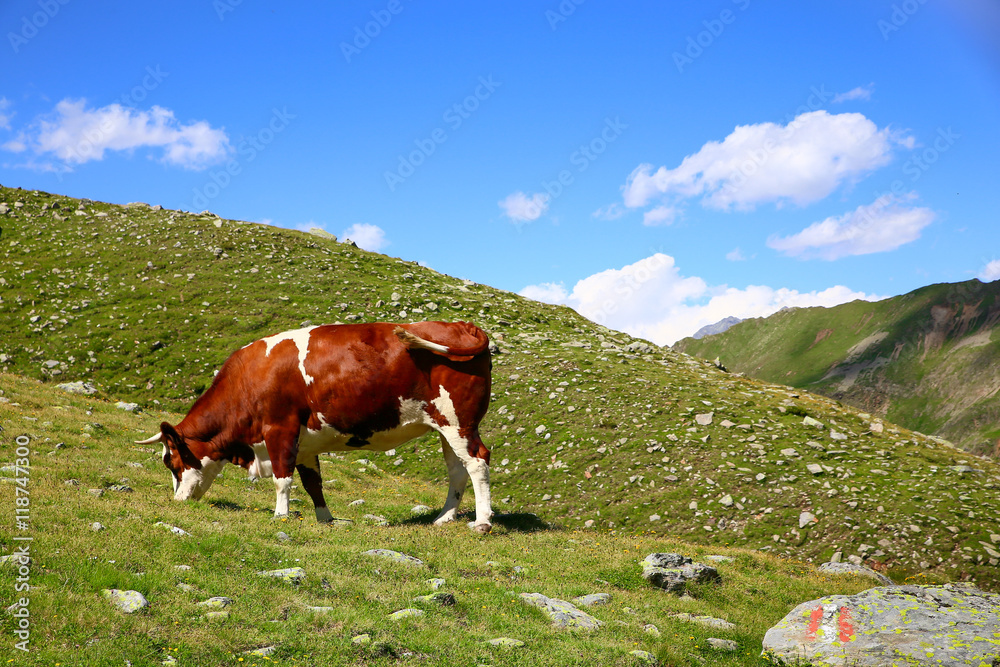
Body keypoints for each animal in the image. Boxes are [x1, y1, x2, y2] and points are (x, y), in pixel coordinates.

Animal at [136, 321, 494, 533]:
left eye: (173, 462)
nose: (178, 501)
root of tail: (461, 324)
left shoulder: (279, 430)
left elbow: (282, 479)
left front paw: (281, 515)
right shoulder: (304, 444)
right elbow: (313, 483)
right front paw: (325, 518)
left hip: (459, 423)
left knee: (477, 462)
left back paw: (482, 522)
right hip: (445, 427)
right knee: (457, 471)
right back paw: (444, 518)